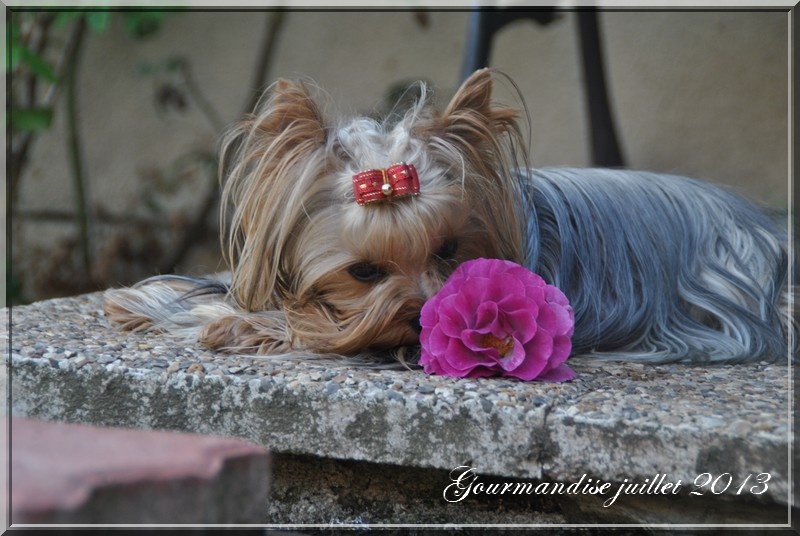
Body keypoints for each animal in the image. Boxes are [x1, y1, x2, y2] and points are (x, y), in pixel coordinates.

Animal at [106, 68, 792, 364]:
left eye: (449, 252)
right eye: (362, 272)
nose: (420, 317)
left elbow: (307, 326)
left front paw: (241, 326)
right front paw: (139, 303)